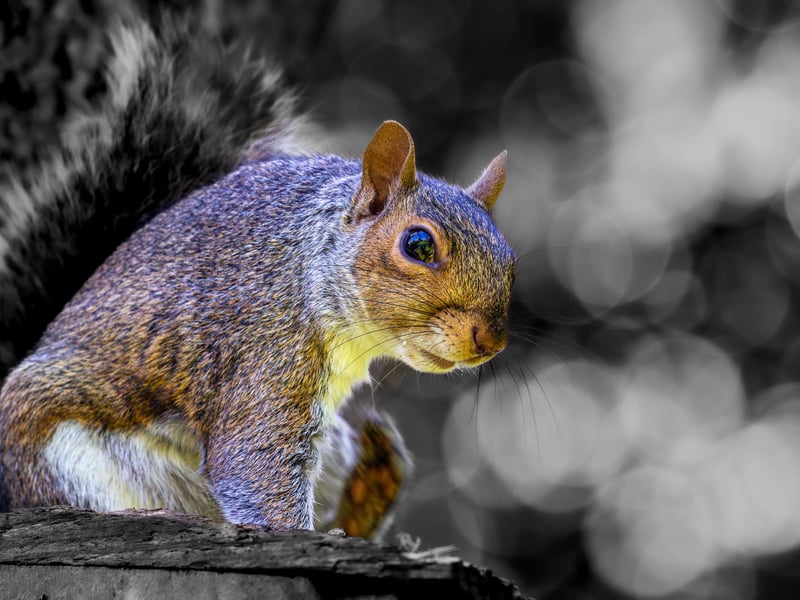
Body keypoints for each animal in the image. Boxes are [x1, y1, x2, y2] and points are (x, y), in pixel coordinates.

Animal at [0, 15, 516, 535]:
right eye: (418, 245)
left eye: (510, 259)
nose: (491, 341)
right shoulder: (266, 353)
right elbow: (255, 464)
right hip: (59, 451)